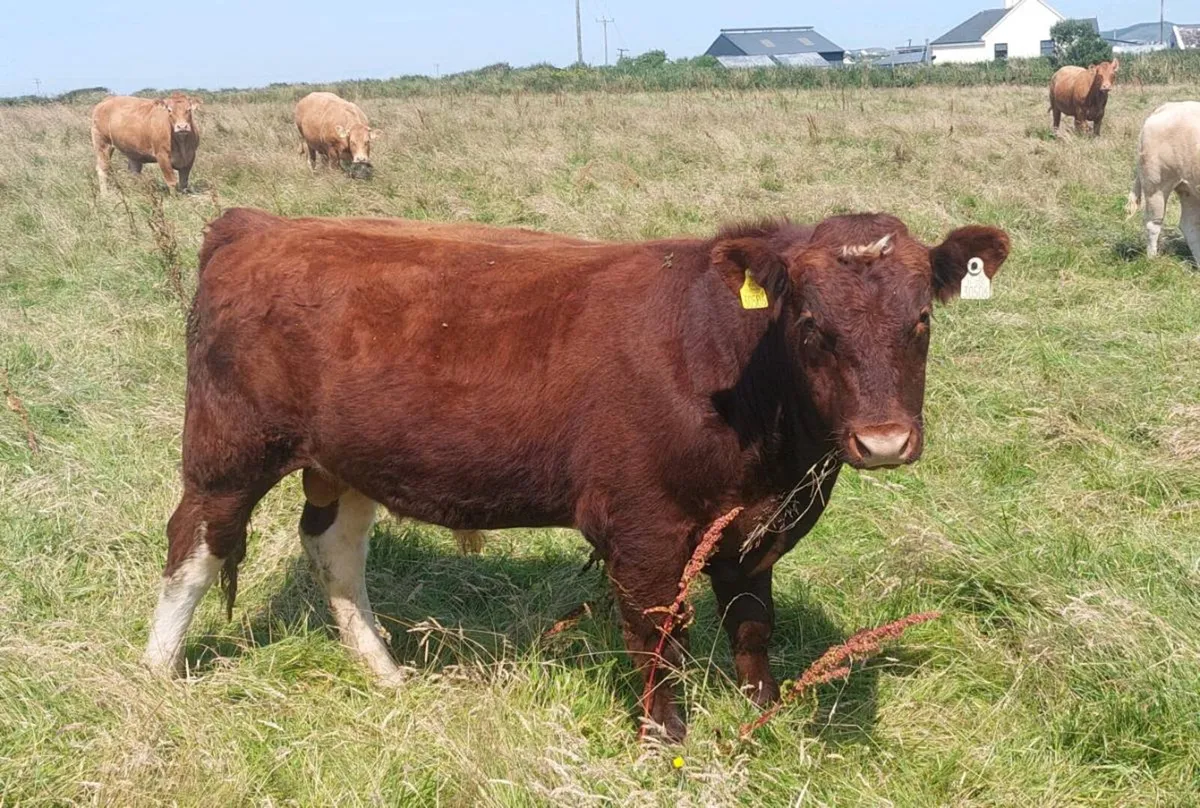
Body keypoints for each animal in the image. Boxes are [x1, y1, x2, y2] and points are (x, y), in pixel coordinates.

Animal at [143, 208, 1009, 741]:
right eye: (809, 325)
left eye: (920, 321)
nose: (884, 440)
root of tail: (261, 224)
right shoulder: (645, 526)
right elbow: (659, 637)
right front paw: (664, 742)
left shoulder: (754, 526)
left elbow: (753, 625)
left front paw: (764, 718)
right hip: (229, 453)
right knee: (193, 545)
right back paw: (155, 674)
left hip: (344, 460)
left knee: (335, 549)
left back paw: (386, 674)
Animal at [1125, 101, 1200, 261]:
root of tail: (1169, 106)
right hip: (1156, 184)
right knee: (1153, 223)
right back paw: (1152, 259)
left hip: (1189, 189)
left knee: (1190, 224)